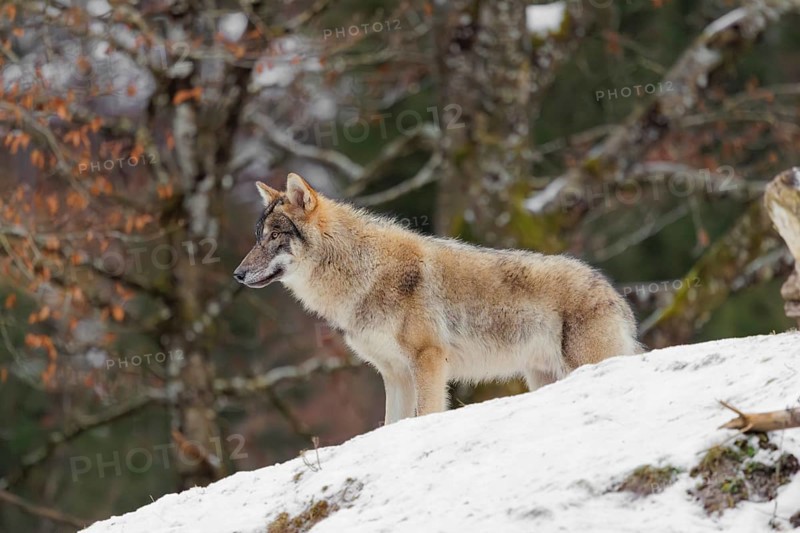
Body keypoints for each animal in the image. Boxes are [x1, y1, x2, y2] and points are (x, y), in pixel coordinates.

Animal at [234, 173, 641, 424]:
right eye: (257, 237)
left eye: (274, 237)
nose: (237, 274)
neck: (362, 272)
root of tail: (612, 292)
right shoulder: (394, 373)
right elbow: (389, 424)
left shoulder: (427, 361)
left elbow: (427, 414)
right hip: (542, 377)